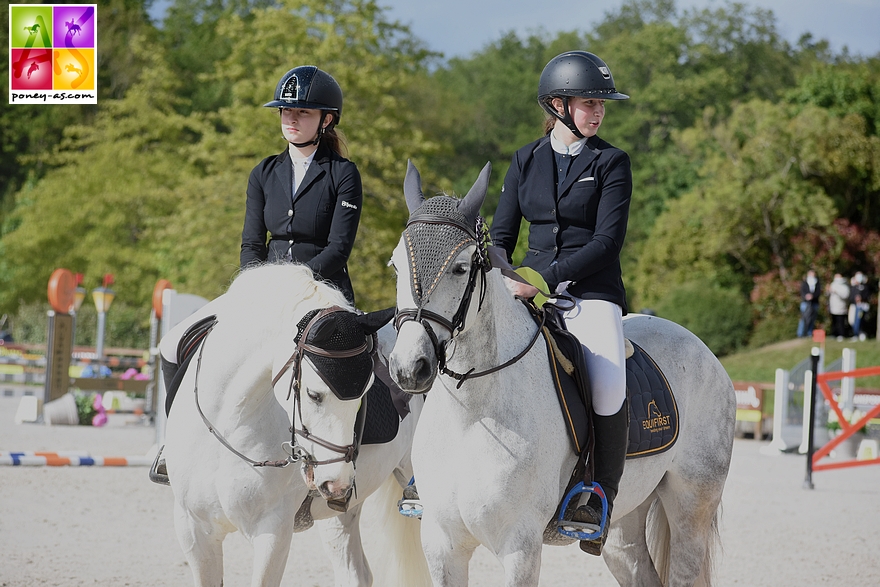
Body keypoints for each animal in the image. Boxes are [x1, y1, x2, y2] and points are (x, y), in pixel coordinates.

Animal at [162, 266, 434, 587]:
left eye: (366, 394)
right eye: (313, 394)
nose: (337, 483)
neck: (228, 426)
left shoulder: (273, 530)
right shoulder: (194, 530)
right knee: (355, 573)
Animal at [384, 163, 736, 587]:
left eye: (460, 267)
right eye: (395, 266)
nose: (409, 367)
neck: (471, 417)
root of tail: (699, 344)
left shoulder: (519, 548)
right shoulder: (441, 545)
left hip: (692, 502)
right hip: (625, 521)